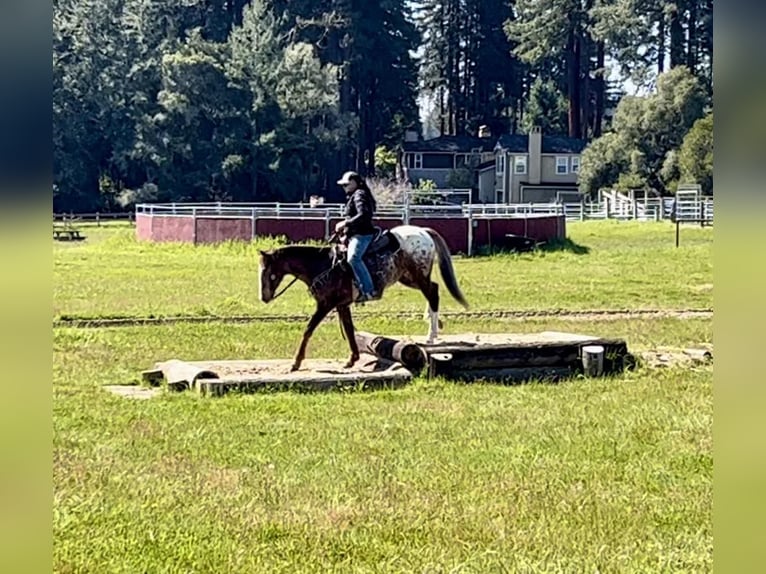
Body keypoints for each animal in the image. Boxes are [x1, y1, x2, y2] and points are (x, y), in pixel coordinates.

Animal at [260, 225, 472, 374]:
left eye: (268, 272)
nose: (264, 297)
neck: (323, 265)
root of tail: (423, 231)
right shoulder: (342, 305)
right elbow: (349, 330)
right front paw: (352, 359)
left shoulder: (325, 304)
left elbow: (308, 329)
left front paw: (295, 363)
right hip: (408, 278)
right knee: (433, 288)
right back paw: (433, 323)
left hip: (418, 275)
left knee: (432, 293)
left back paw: (431, 334)